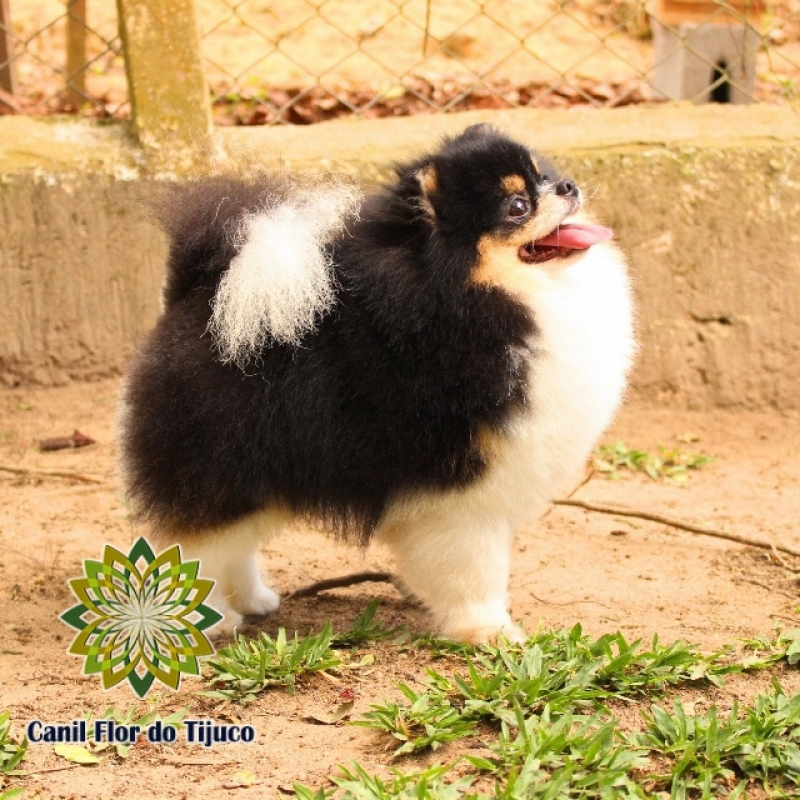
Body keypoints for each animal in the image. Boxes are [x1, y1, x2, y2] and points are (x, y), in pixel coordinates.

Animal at [119, 122, 636, 640]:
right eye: (517, 206)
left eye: (543, 175)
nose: (567, 185)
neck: (476, 298)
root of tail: (197, 296)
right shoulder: (463, 494)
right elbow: (476, 571)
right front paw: (489, 631)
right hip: (223, 467)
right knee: (194, 544)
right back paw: (200, 621)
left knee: (233, 546)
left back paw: (250, 599)